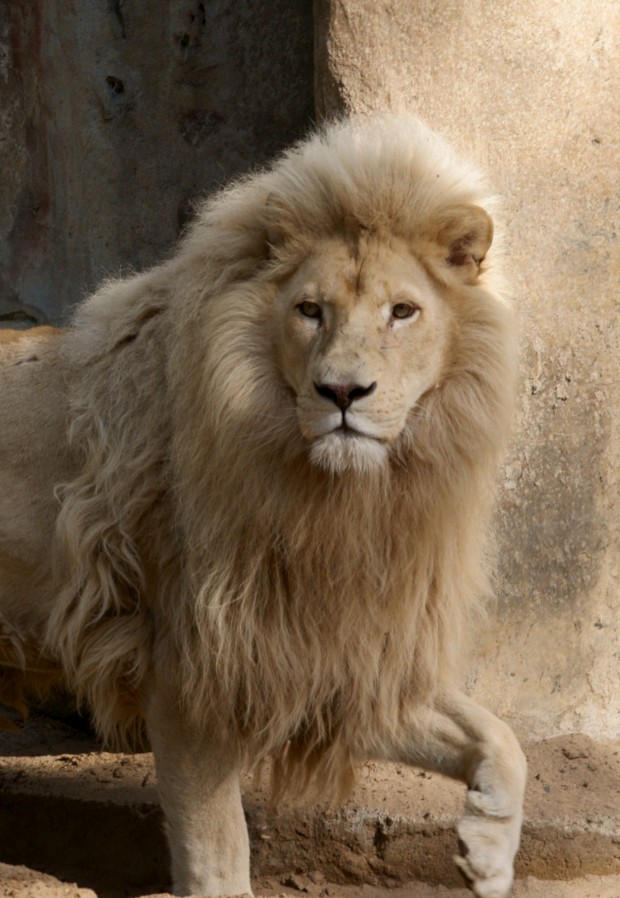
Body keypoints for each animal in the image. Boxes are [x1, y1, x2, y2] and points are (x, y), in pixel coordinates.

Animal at [0, 115, 526, 898]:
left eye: (402, 312)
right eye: (310, 311)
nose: (343, 393)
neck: (342, 504)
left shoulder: (335, 653)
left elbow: (499, 736)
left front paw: (487, 850)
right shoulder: (187, 672)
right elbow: (219, 853)